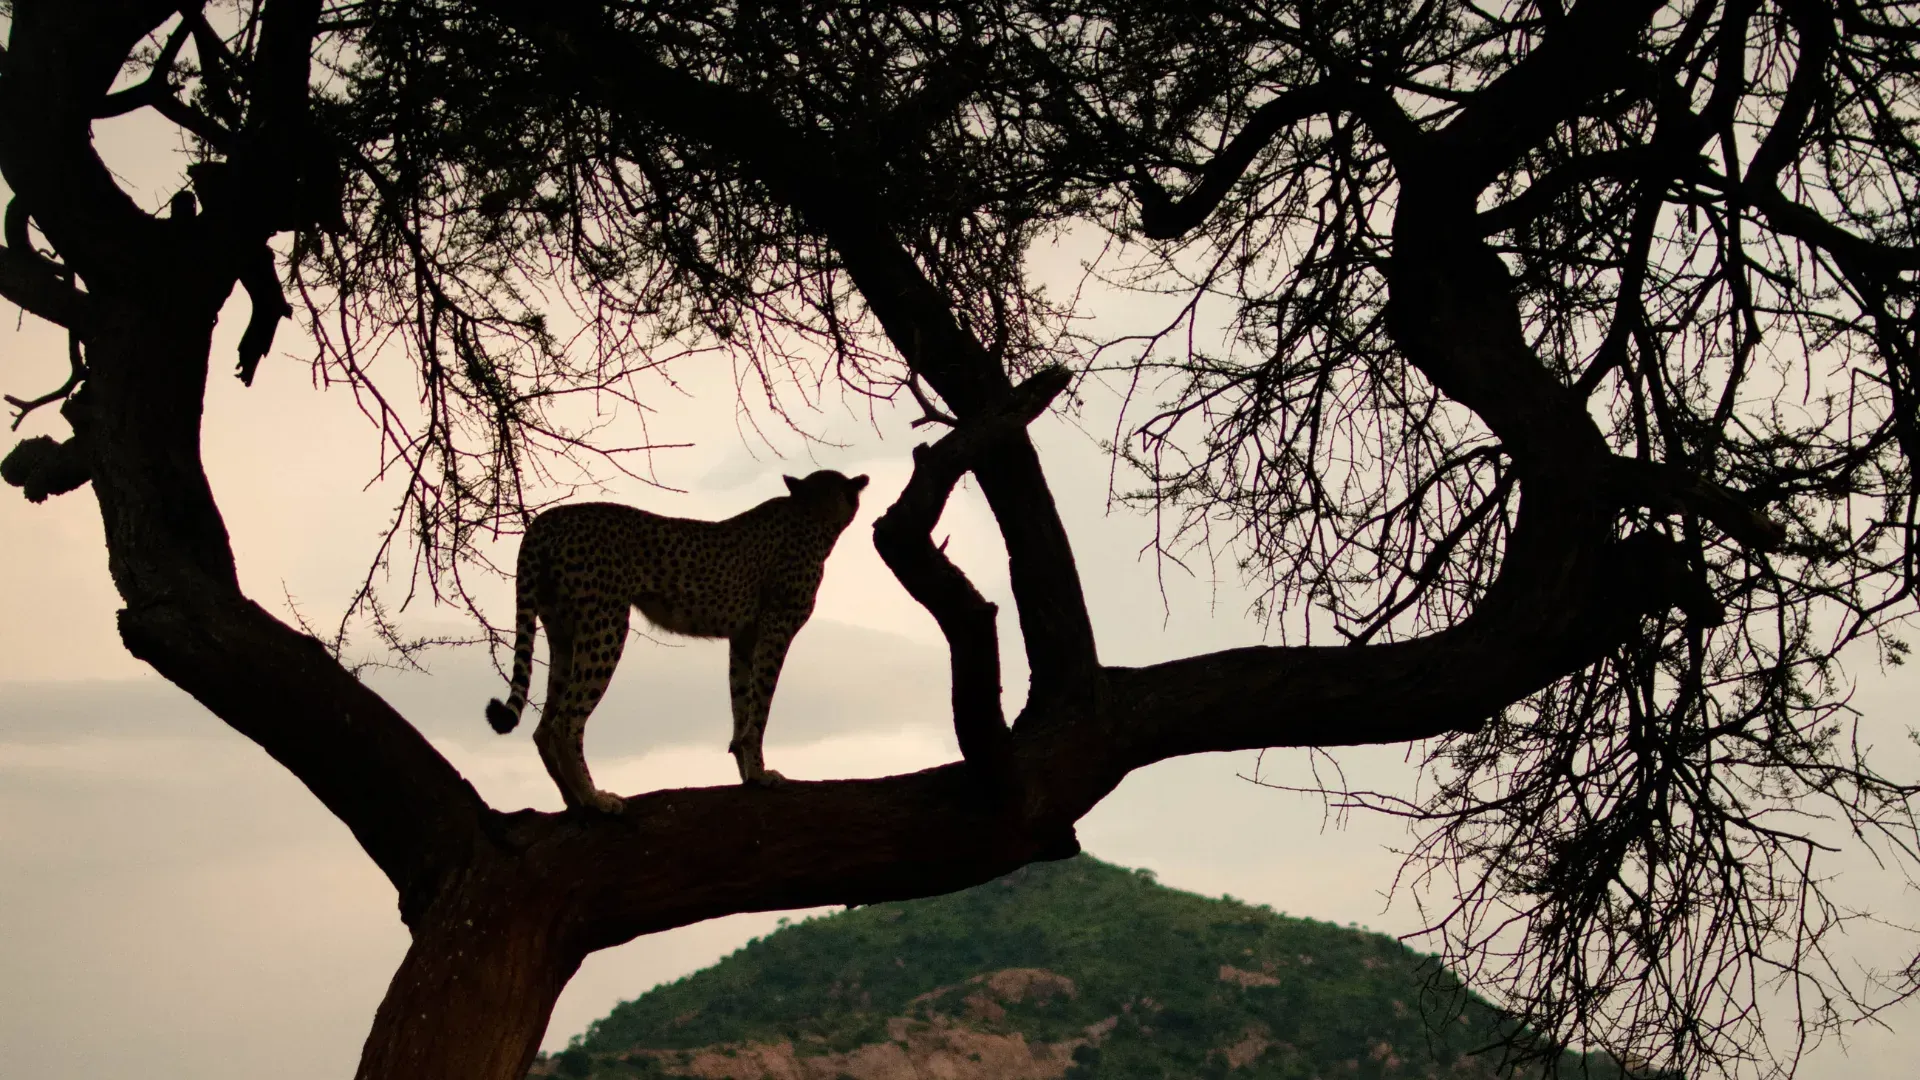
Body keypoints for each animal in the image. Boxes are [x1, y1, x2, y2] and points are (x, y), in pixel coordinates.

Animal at [485, 469, 870, 813]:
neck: (812, 514)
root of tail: (548, 518)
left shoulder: (743, 638)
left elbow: (741, 705)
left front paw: (748, 773)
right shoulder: (775, 628)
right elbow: (760, 708)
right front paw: (761, 774)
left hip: (563, 633)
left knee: (543, 728)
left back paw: (574, 801)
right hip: (606, 624)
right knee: (565, 722)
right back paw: (595, 800)